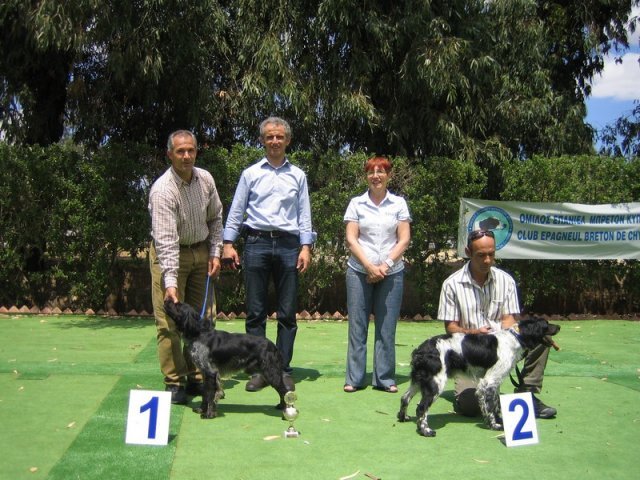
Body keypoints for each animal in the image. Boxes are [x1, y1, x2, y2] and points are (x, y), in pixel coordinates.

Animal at [398, 316, 556, 436]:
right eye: (546, 324)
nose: (558, 327)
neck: (515, 338)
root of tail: (420, 350)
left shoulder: (493, 383)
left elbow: (494, 404)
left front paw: (497, 420)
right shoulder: (488, 381)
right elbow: (490, 406)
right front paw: (495, 425)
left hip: (418, 380)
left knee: (405, 398)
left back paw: (403, 417)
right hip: (436, 383)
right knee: (421, 408)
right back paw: (426, 431)